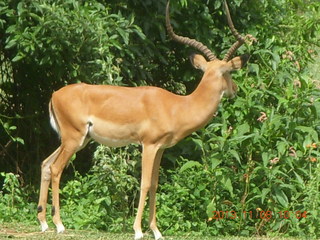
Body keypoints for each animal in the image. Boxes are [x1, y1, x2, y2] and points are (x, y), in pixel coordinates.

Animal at [37, 0, 252, 239]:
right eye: (228, 72)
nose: (235, 89)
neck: (178, 106)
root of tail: (55, 95)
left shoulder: (160, 148)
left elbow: (156, 184)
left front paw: (156, 231)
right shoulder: (148, 145)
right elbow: (145, 183)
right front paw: (138, 230)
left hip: (78, 140)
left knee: (45, 164)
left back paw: (44, 223)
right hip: (73, 139)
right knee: (56, 169)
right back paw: (59, 225)